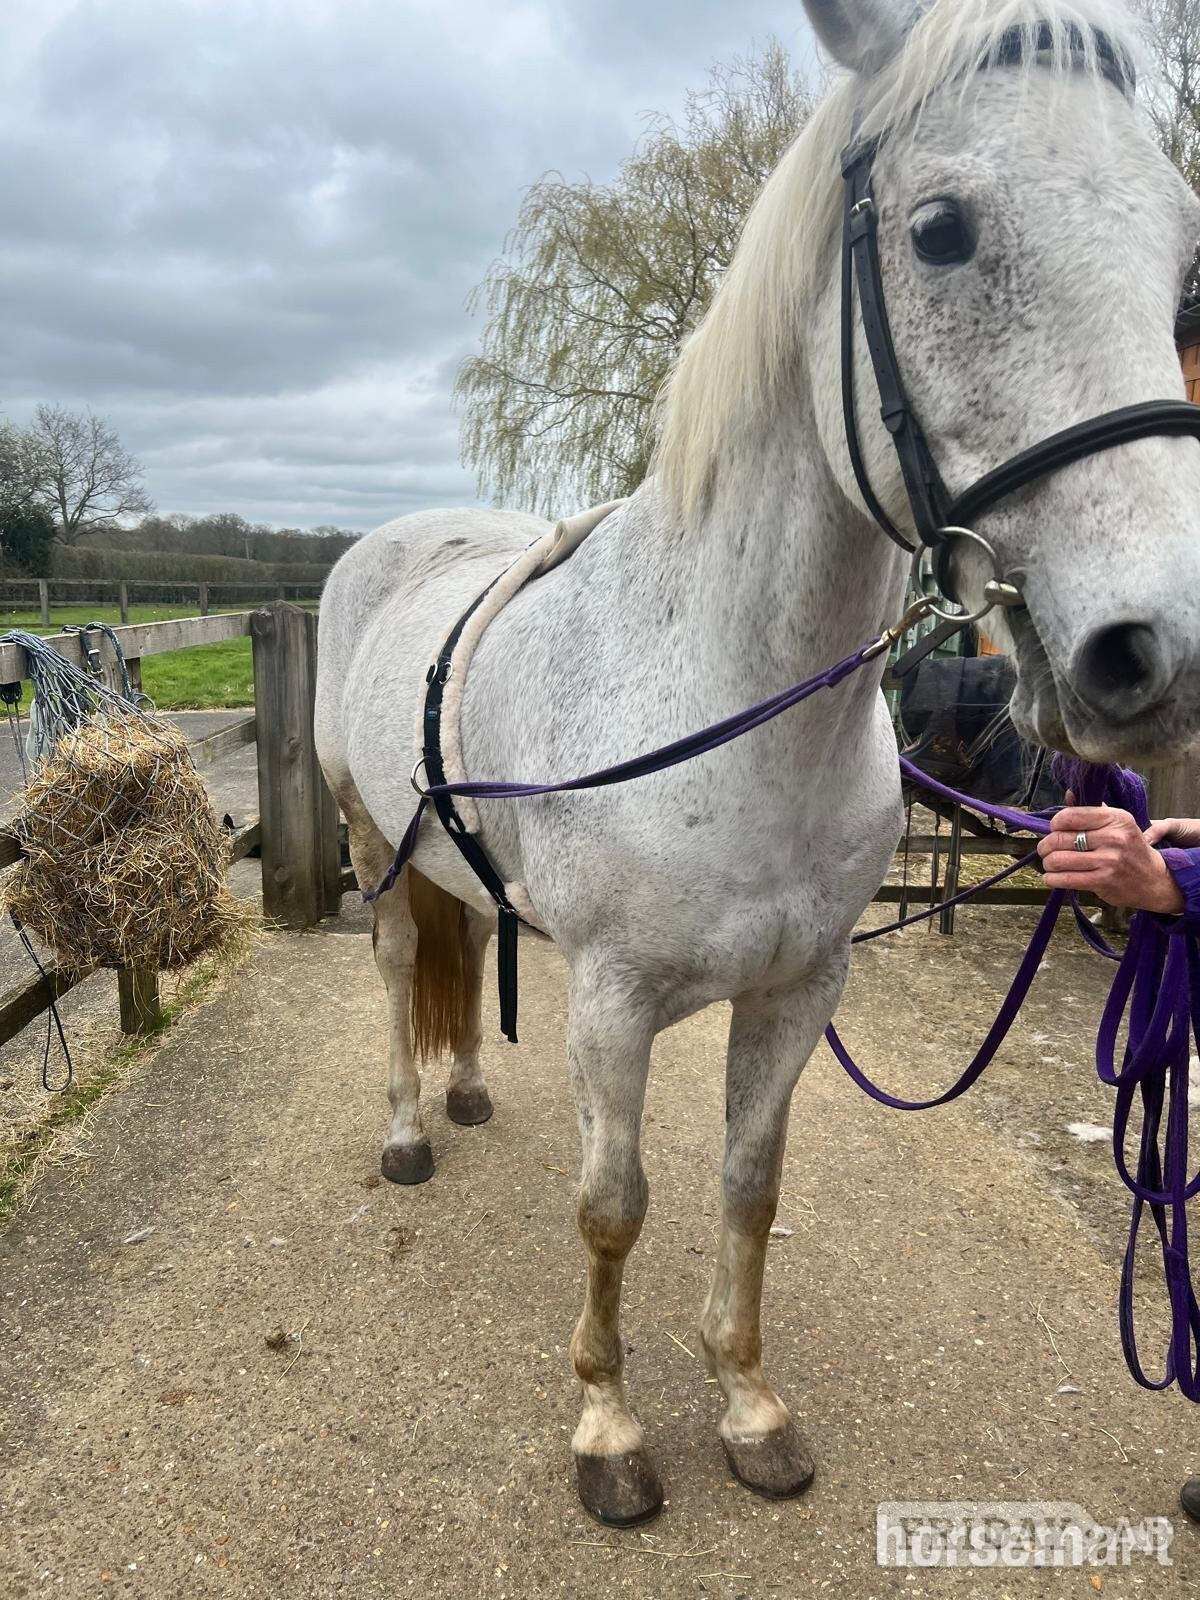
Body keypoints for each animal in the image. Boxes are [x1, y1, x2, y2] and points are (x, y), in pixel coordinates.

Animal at [315, 0, 1200, 1527]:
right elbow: (615, 1208)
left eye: (1181, 241)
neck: (727, 705)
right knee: (396, 968)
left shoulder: (798, 991)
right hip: (375, 843)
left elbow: (747, 1189)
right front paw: (609, 1429)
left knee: (465, 938)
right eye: (942, 230)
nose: (1164, 647)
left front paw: (749, 1406)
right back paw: (410, 1131)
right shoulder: (611, 1005)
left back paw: (469, 1089)